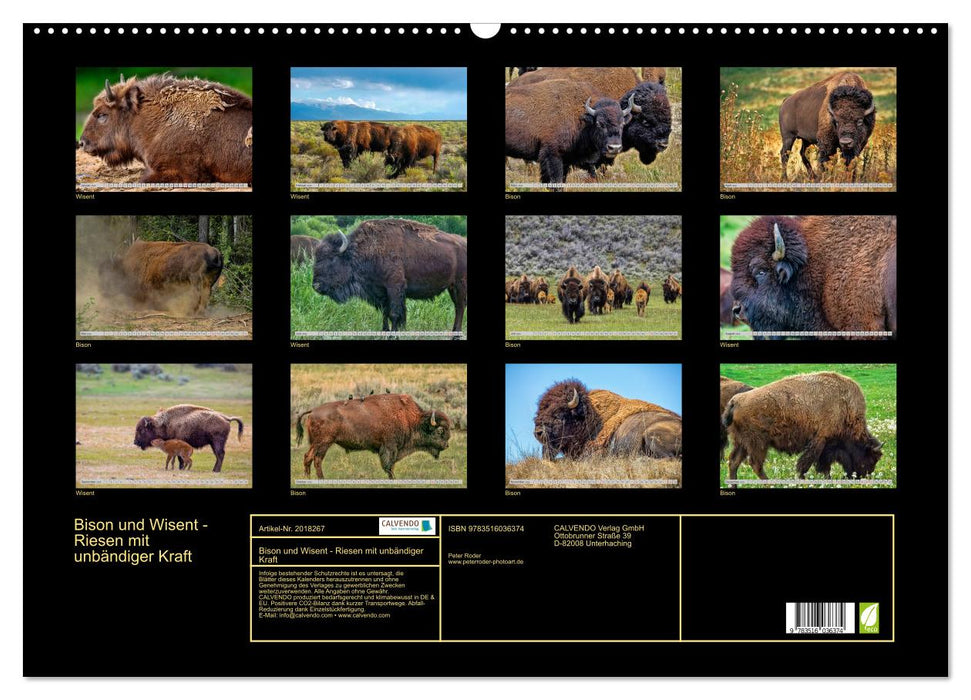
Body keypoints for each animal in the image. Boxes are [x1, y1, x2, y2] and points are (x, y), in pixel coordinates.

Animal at [296, 394, 451, 479]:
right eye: (440, 431)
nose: (447, 445)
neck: (410, 418)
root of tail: (313, 410)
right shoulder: (390, 447)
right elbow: (389, 465)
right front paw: (393, 479)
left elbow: (390, 465)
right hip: (323, 443)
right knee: (315, 459)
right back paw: (321, 479)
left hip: (317, 444)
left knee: (308, 458)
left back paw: (309, 479)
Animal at [311, 218, 467, 334]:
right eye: (317, 258)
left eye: (332, 258)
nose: (316, 286)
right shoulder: (381, 292)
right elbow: (385, 314)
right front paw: (385, 332)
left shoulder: (394, 287)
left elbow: (394, 314)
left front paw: (393, 334)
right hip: (451, 287)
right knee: (457, 307)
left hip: (459, 284)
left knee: (460, 307)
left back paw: (456, 334)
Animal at [533, 379, 682, 460]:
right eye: (539, 412)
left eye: (559, 414)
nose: (538, 432)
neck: (591, 418)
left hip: (652, 434)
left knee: (669, 458)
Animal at [723, 372, 882, 481]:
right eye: (871, 458)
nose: (863, 476)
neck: (846, 408)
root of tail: (735, 401)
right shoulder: (821, 441)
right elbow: (809, 463)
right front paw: (802, 478)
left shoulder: (826, 446)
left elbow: (822, 465)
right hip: (758, 444)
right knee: (755, 464)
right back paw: (770, 482)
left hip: (741, 443)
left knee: (734, 462)